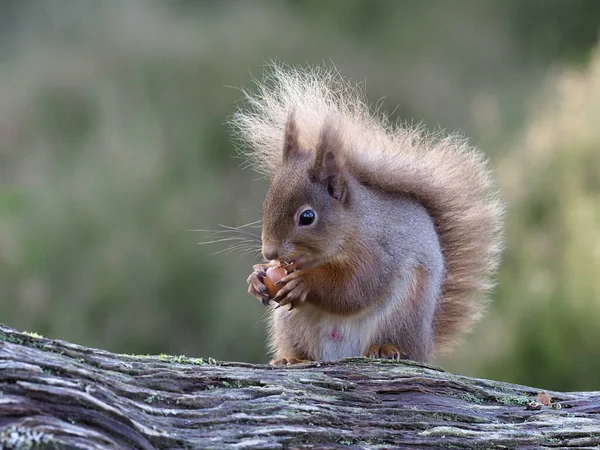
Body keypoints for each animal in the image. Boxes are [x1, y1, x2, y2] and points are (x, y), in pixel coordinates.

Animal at [232, 64, 504, 366]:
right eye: (265, 204)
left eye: (307, 217)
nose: (269, 253)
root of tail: (424, 344)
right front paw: (256, 277)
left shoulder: (376, 251)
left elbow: (354, 288)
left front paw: (305, 282)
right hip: (289, 324)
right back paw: (291, 358)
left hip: (404, 312)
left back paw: (386, 349)